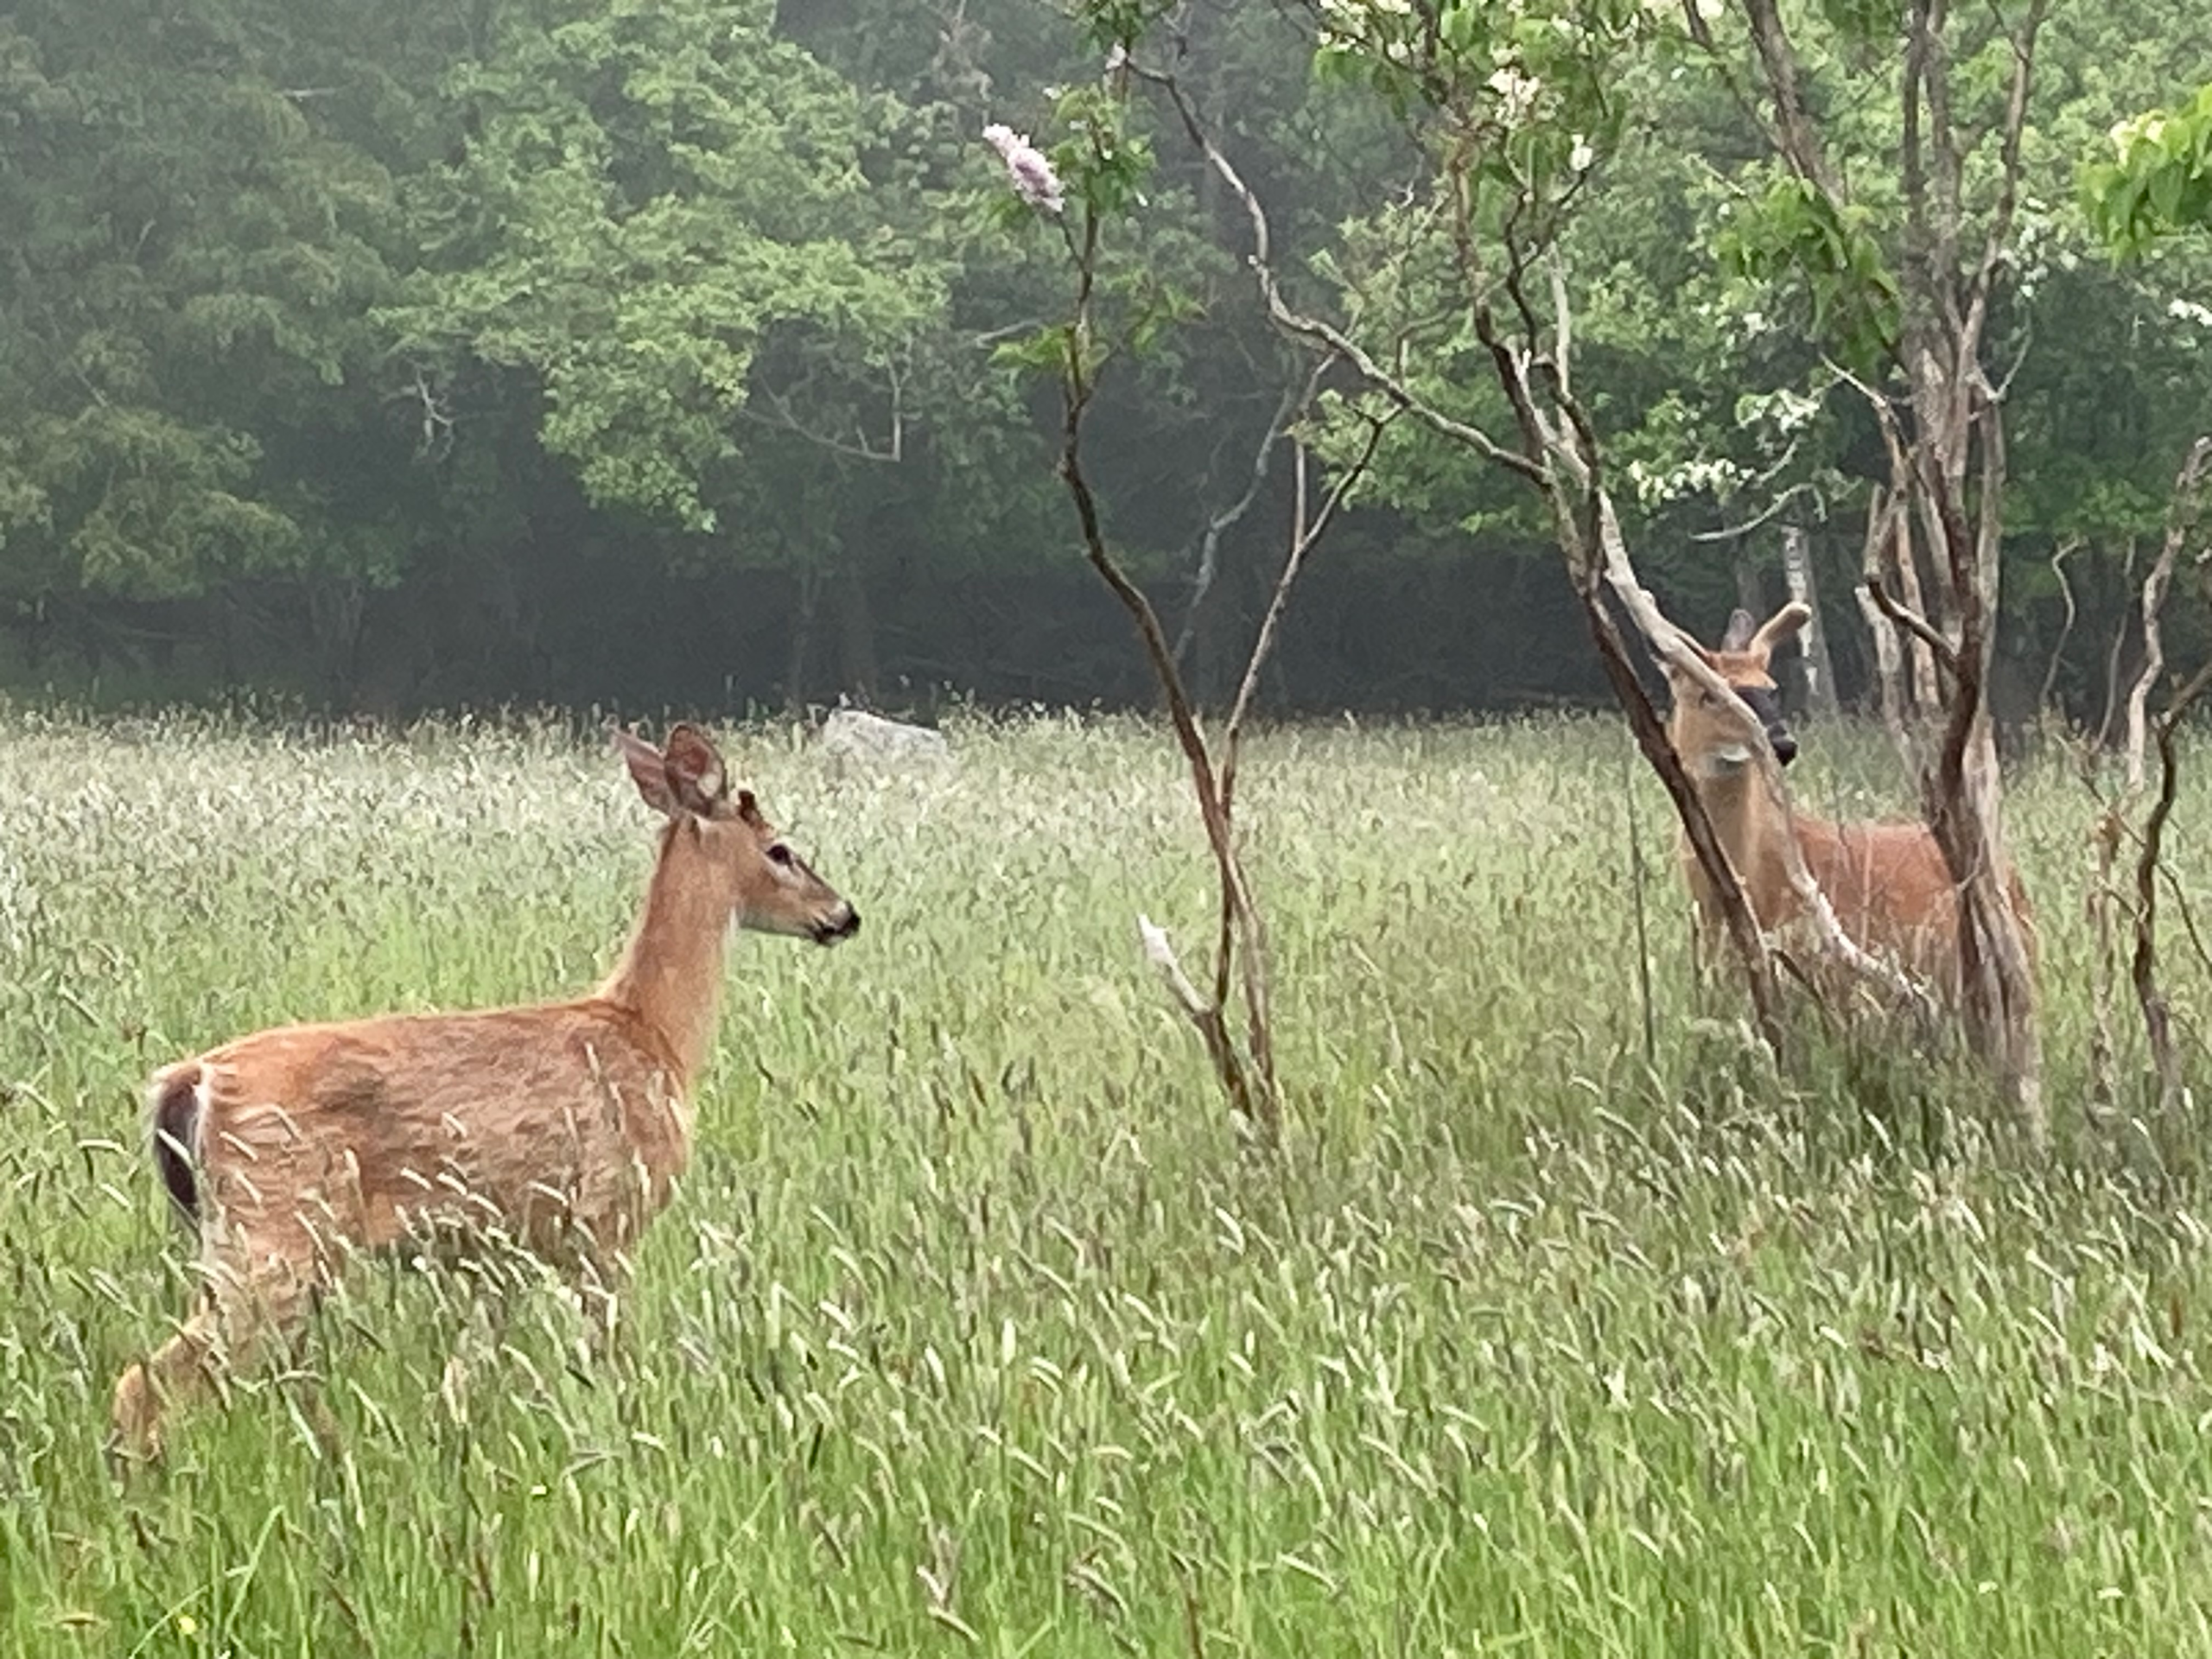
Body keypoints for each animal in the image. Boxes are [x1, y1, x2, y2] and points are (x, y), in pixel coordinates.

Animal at [110, 723, 858, 1462]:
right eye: (781, 849)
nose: (844, 914)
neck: (656, 1033)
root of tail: (191, 1081)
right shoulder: (608, 1222)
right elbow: (615, 1365)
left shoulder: (508, 1254)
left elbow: (460, 1382)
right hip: (274, 1232)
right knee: (142, 1384)